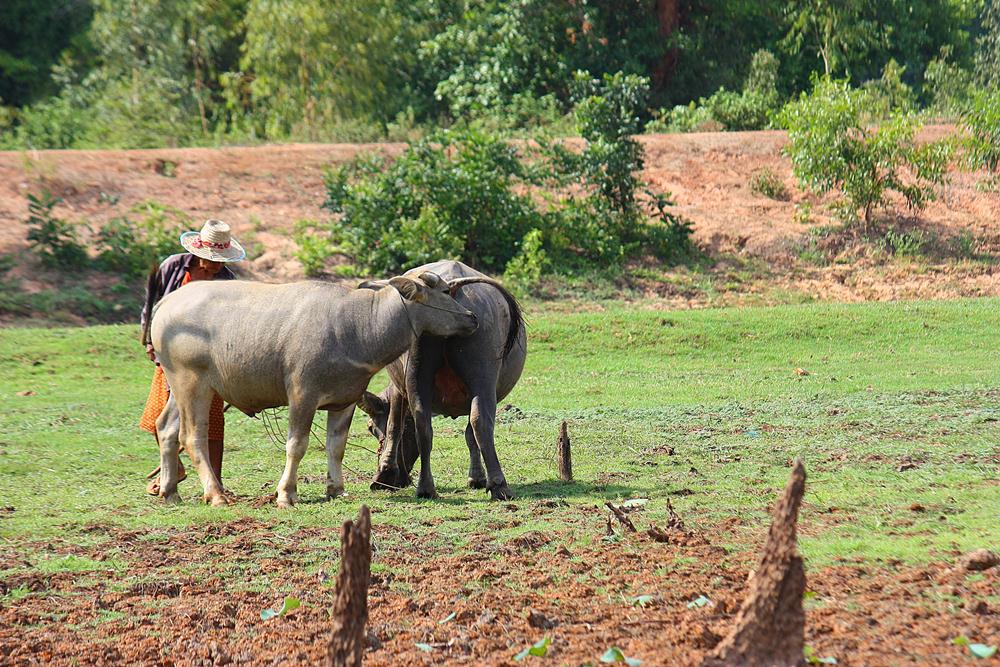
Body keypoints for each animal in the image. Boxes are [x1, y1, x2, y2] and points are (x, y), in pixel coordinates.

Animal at [145, 272, 480, 506]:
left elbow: (337, 445)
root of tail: (166, 304)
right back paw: (215, 494)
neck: (357, 326)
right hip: (193, 384)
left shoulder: (344, 401)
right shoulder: (301, 396)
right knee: (192, 436)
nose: (472, 317)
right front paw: (286, 494)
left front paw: (337, 489)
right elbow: (297, 445)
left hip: (179, 387)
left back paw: (170, 491)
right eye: (442, 293)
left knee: (166, 428)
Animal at [360, 260, 532, 500]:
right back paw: (499, 484)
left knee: (424, 425)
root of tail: (450, 285)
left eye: (370, 428)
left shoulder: (399, 388)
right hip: (482, 379)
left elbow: (396, 424)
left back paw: (426, 488)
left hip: (421, 374)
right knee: (480, 422)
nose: (401, 479)